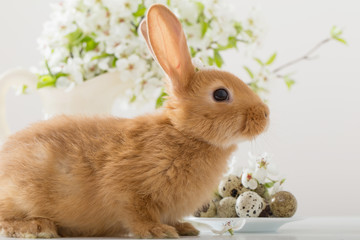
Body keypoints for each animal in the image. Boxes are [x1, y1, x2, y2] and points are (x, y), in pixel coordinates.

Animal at [0, 3, 268, 238]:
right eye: (220, 94)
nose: (265, 115)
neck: (183, 132)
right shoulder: (128, 190)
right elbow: (136, 214)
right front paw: (158, 231)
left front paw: (184, 228)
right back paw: (38, 227)